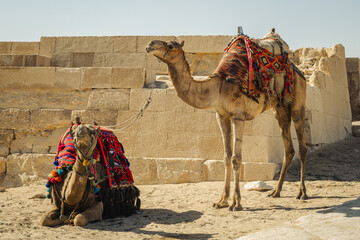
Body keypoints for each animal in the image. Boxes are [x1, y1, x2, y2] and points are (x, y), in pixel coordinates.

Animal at [145, 29, 308, 210]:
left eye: (170, 45)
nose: (150, 44)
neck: (218, 88)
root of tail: (298, 70)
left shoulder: (238, 116)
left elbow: (236, 158)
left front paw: (236, 203)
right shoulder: (221, 115)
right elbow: (226, 157)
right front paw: (222, 200)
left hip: (297, 101)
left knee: (302, 147)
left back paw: (302, 193)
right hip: (280, 108)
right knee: (289, 148)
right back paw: (276, 192)